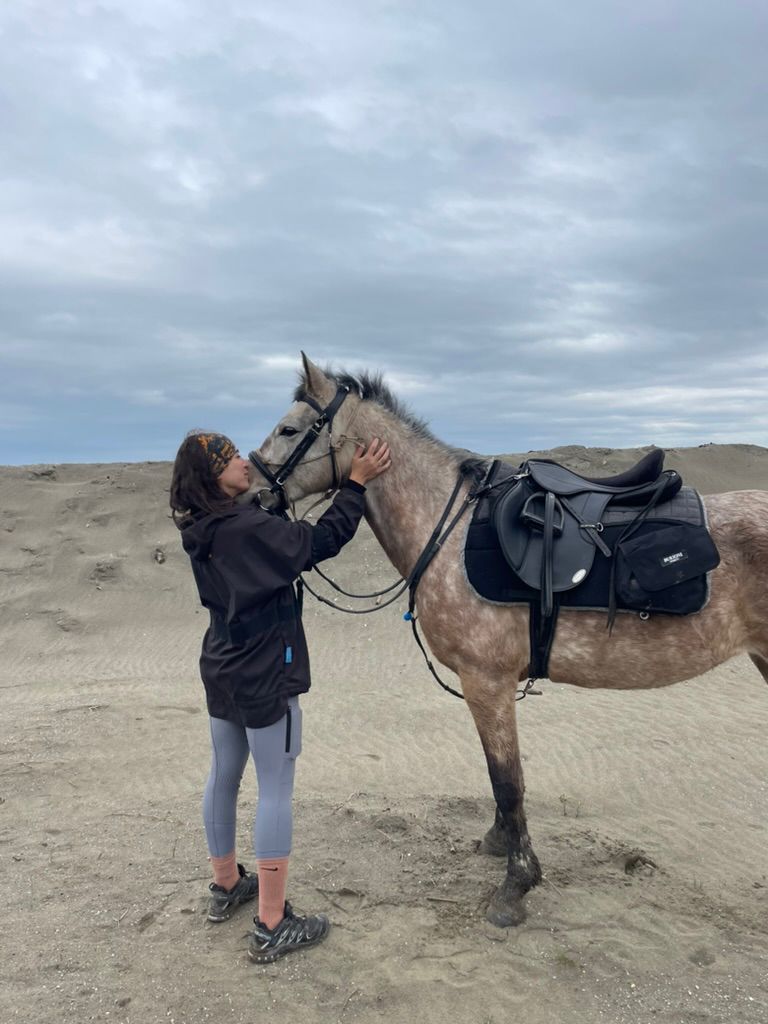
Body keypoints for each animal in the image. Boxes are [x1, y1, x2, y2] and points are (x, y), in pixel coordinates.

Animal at [247, 354, 768, 927]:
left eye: (289, 429)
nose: (250, 491)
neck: (448, 531)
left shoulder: (487, 681)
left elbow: (507, 778)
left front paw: (516, 884)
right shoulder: (486, 687)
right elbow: (498, 776)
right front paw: (499, 843)